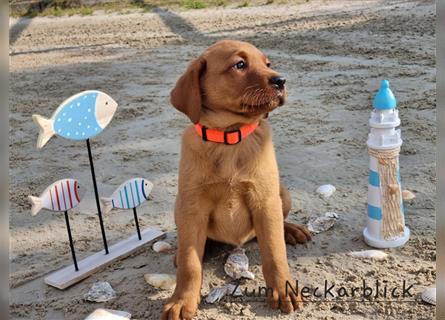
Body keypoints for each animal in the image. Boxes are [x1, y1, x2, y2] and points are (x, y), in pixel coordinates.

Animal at [161, 40, 310, 320]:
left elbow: (274, 252)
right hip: (178, 204)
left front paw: (283, 290)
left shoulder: (265, 200)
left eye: (268, 63)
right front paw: (181, 301)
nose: (281, 80)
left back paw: (292, 230)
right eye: (239, 64)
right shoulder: (191, 206)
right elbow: (189, 263)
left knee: (279, 224)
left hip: (281, 192)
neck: (230, 137)